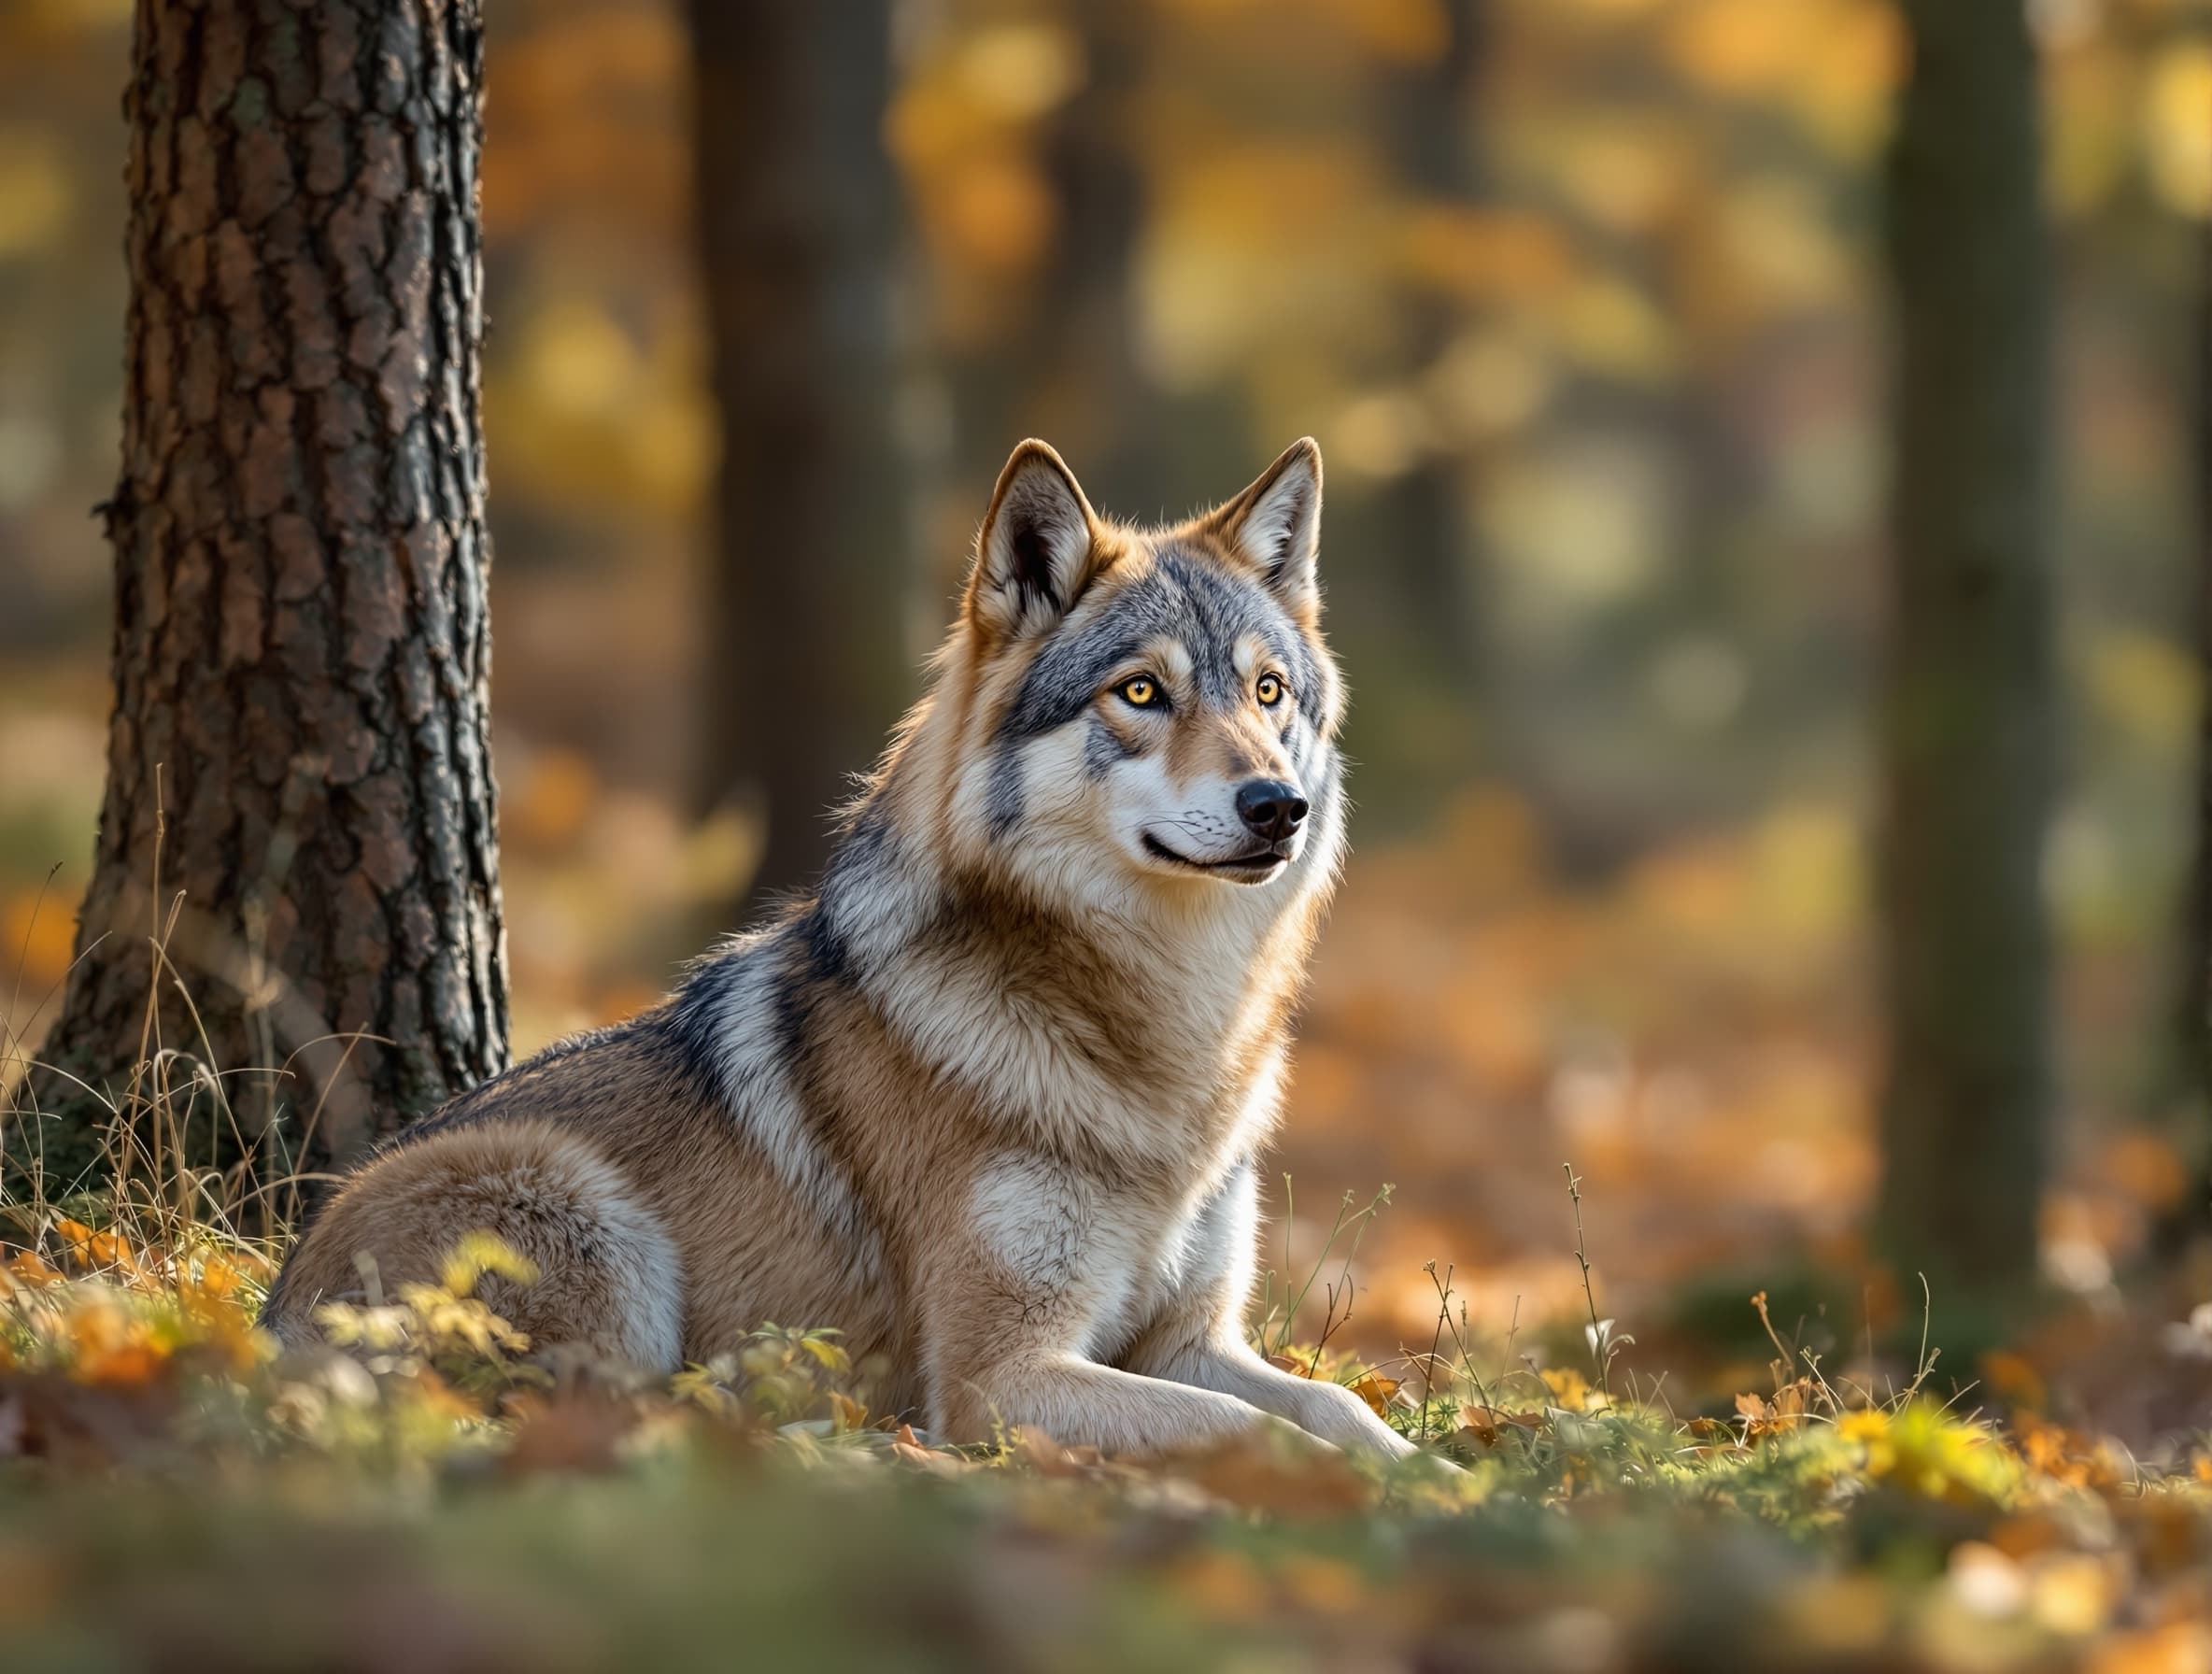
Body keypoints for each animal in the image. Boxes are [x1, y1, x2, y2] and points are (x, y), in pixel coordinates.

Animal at [262, 437, 1416, 1461]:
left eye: (1268, 693)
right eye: (1140, 691)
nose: (1278, 806)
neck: (1162, 1036)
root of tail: (276, 1314)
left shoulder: (1192, 1340)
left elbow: (1337, 1410)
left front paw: (1439, 1481)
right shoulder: (998, 1378)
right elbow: (1254, 1433)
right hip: (580, 1212)